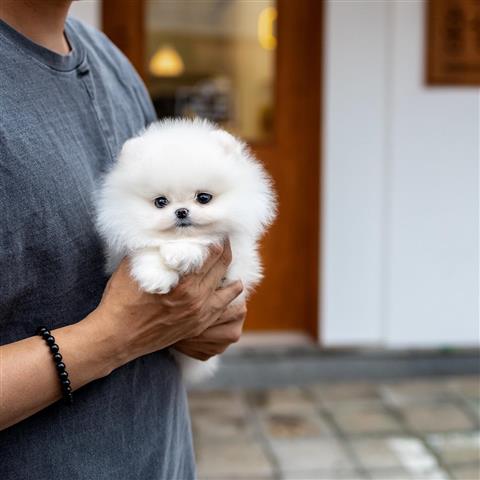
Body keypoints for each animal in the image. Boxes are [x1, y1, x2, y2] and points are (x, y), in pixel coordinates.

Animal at [95, 118, 278, 384]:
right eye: (160, 202)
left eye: (203, 198)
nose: (181, 211)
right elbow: (146, 247)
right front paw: (156, 277)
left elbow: (202, 240)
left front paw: (181, 254)